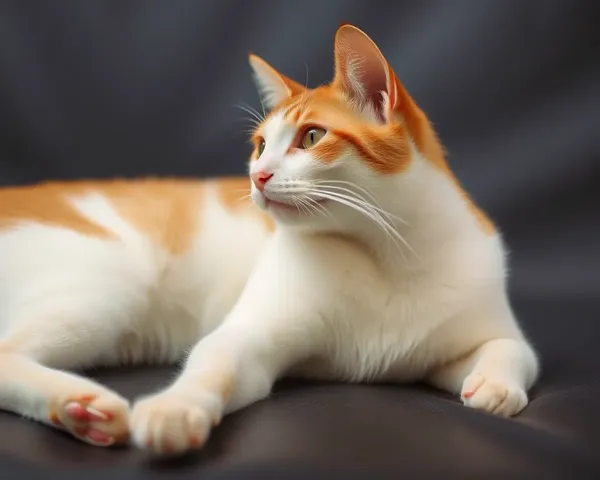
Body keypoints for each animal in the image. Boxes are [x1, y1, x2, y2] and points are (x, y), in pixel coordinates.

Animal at [0, 24, 540, 456]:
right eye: (261, 145)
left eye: (311, 137)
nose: (257, 176)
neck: (385, 255)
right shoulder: (250, 339)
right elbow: (211, 362)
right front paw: (175, 409)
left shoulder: (469, 341)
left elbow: (513, 350)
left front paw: (495, 386)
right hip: (112, 284)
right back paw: (82, 404)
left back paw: (77, 412)